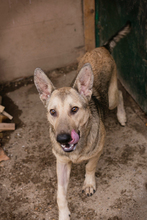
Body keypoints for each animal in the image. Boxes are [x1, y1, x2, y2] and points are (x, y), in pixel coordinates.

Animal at [34, 21, 130, 220]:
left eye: (74, 109)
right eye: (52, 112)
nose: (63, 139)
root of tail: (101, 47)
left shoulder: (98, 150)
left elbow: (90, 166)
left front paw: (89, 183)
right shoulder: (61, 163)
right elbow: (60, 194)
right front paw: (63, 214)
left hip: (111, 98)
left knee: (119, 94)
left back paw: (122, 116)